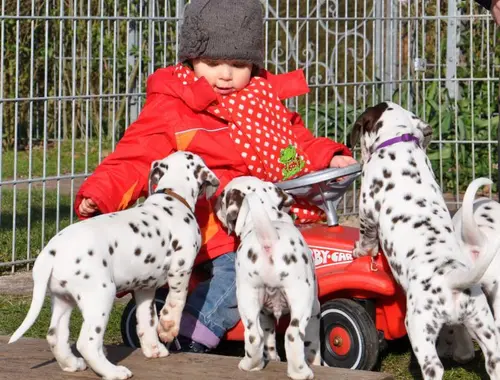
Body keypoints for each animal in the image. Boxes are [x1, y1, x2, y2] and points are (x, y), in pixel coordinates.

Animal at [7, 151, 219, 380]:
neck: (172, 196)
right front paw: (168, 328)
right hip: (101, 295)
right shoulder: (181, 267)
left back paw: (72, 364)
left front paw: (153, 348)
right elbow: (176, 302)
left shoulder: (145, 288)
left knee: (55, 335)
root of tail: (50, 253)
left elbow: (147, 319)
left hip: (63, 299)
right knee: (87, 342)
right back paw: (113, 371)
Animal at [215, 176, 320, 380]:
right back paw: (301, 372)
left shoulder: (265, 314)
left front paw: (273, 357)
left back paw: (250, 365)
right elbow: (313, 345)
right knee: (293, 335)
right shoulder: (315, 309)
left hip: (247, 296)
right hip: (301, 297)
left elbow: (269, 339)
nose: (214, 201)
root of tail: (269, 237)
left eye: (223, 196)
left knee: (254, 336)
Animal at [350, 101, 500, 380]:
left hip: (419, 326)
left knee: (434, 367)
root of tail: (454, 280)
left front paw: (359, 252)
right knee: (493, 360)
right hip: (485, 325)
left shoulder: (367, 210)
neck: (398, 140)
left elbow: (367, 238)